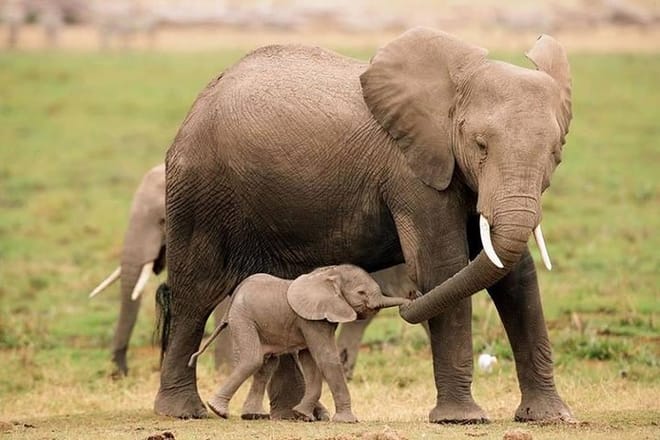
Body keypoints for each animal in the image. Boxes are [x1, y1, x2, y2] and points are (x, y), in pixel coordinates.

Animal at [188, 265, 411, 423]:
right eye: (361, 293)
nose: (411, 298)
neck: (329, 273)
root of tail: (236, 292)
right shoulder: (311, 319)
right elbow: (325, 358)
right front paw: (347, 421)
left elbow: (310, 361)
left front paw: (302, 415)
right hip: (243, 318)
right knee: (252, 359)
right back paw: (218, 410)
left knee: (267, 365)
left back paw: (253, 415)